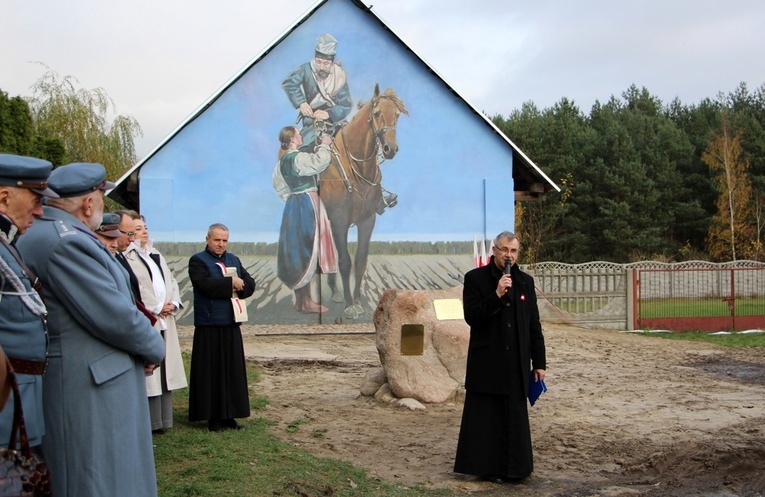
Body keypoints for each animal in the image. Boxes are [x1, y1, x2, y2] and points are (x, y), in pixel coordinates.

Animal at [318, 83, 408, 318]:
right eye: (376, 113)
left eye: (396, 115)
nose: (390, 149)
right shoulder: (339, 221)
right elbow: (344, 261)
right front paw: (350, 305)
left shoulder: (367, 221)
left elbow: (359, 261)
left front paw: (356, 300)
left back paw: (335, 291)